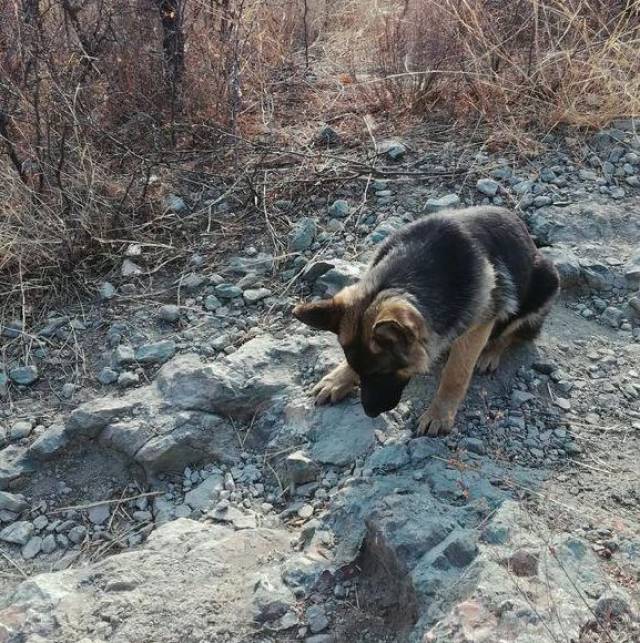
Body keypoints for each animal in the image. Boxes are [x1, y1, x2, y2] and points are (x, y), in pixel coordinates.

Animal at [292, 206, 556, 438]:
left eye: (384, 372)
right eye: (358, 368)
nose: (370, 413)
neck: (406, 275)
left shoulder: (478, 326)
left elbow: (456, 372)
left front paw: (439, 414)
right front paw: (339, 378)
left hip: (546, 284)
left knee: (513, 332)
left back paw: (490, 352)